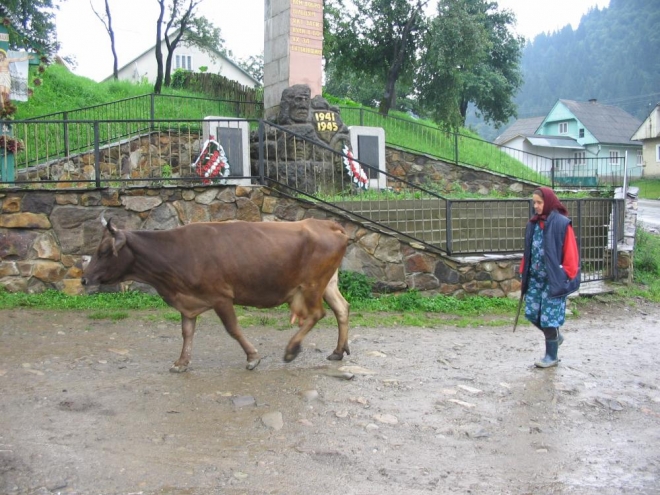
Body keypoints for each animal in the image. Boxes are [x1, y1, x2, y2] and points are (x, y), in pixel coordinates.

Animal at [81, 217, 350, 372]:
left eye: (104, 251)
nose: (84, 279)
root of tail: (324, 223)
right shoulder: (187, 301)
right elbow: (187, 332)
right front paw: (181, 362)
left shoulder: (221, 296)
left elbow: (233, 329)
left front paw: (252, 357)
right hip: (327, 283)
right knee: (341, 308)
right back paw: (338, 351)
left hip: (312, 285)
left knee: (317, 314)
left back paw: (292, 349)